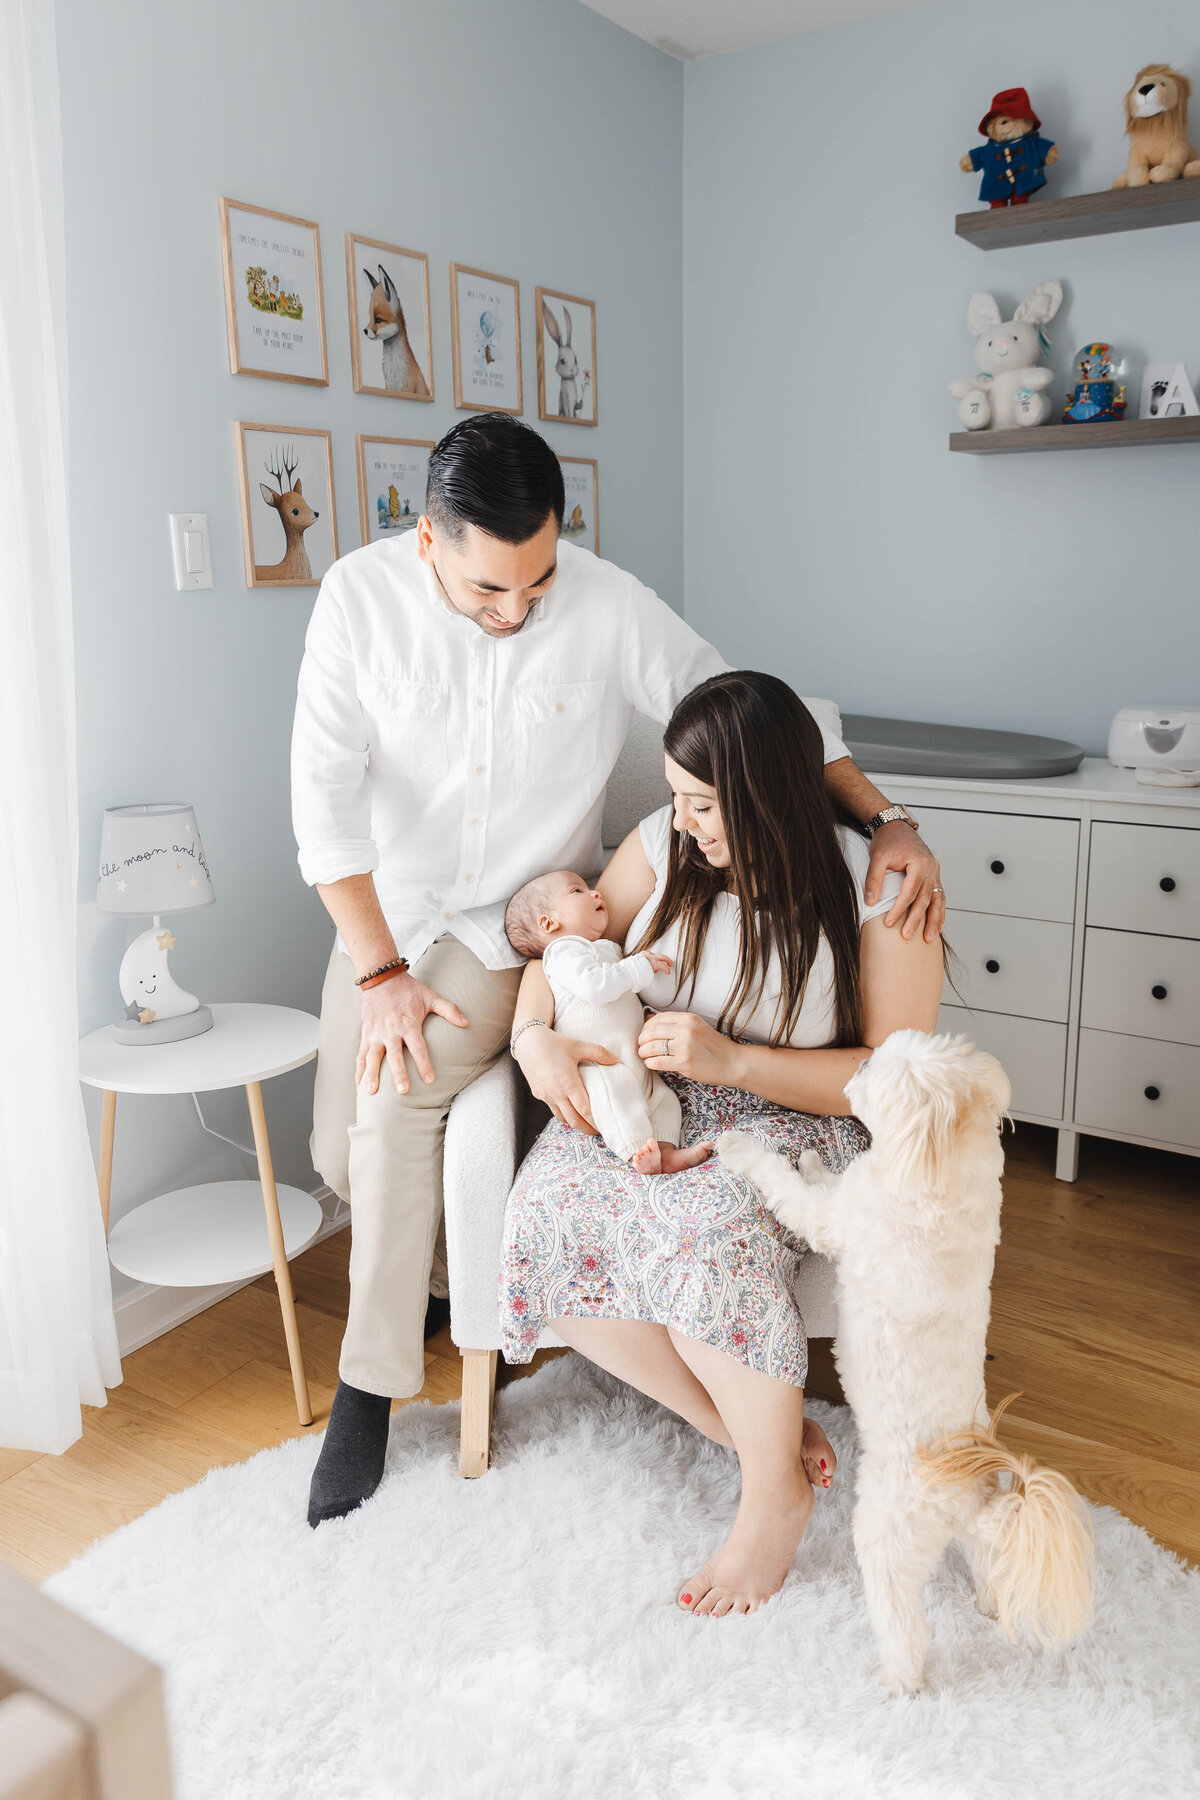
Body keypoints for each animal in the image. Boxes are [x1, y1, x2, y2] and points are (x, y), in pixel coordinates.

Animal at [719, 1036, 1093, 1692]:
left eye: (877, 1071)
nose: (857, 1063)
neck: (943, 1166)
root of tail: (966, 1499)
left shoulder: (834, 1221)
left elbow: (789, 1187)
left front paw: (744, 1148)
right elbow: (823, 1179)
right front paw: (815, 1160)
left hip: (885, 1534)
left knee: (902, 1620)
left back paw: (897, 1681)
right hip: (970, 1535)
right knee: (987, 1561)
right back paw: (989, 1602)